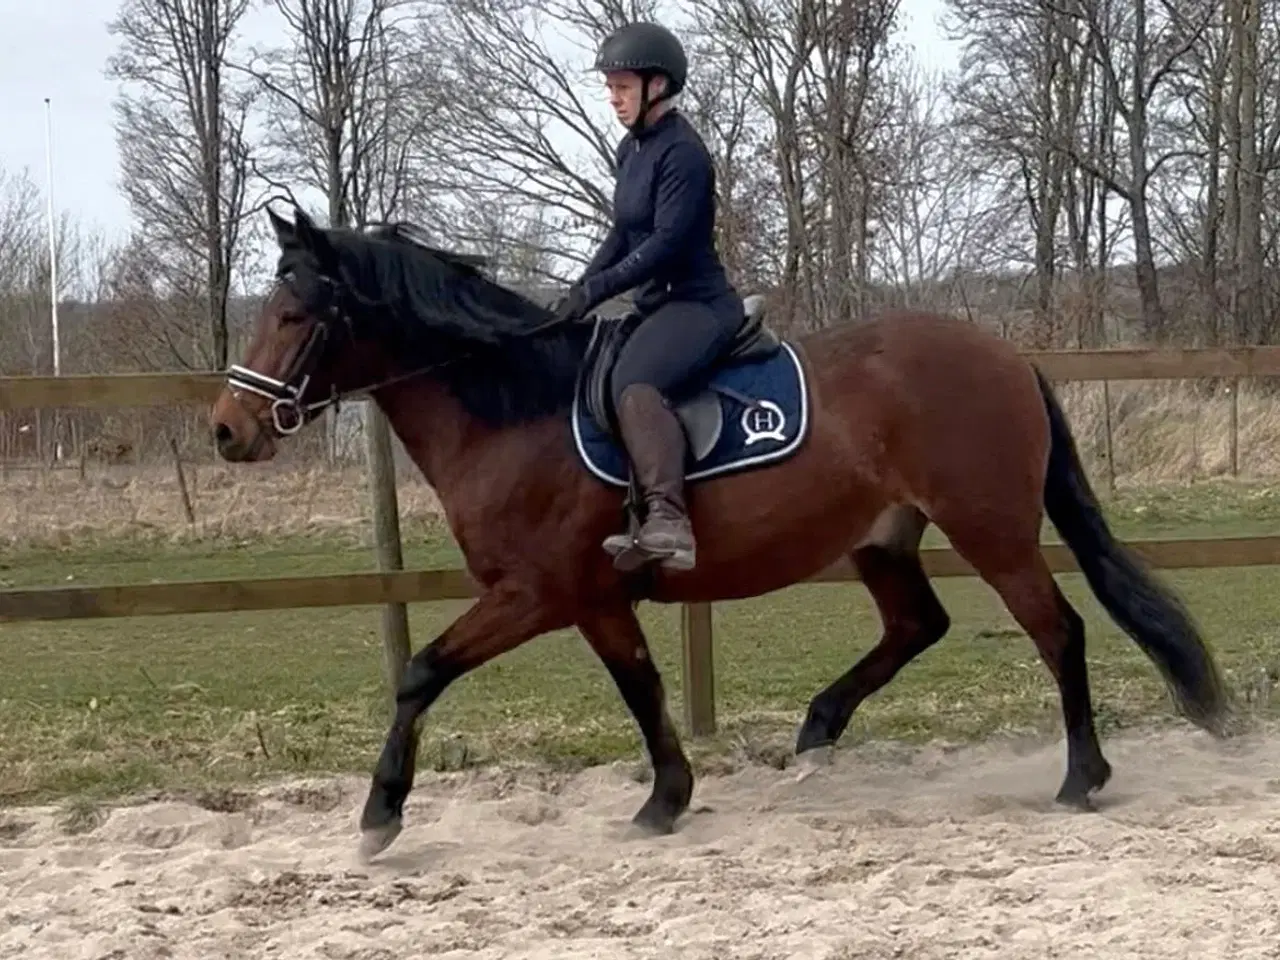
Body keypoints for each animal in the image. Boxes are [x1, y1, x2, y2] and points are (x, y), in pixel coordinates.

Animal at [209, 205, 1234, 862]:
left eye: (295, 313)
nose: (228, 430)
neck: (516, 410)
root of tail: (1007, 354)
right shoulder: (593, 597)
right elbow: (642, 686)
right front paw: (667, 800)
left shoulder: (540, 592)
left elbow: (423, 670)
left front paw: (380, 815)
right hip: (880, 538)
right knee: (918, 625)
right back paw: (817, 733)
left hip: (993, 531)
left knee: (1057, 631)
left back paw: (1080, 779)